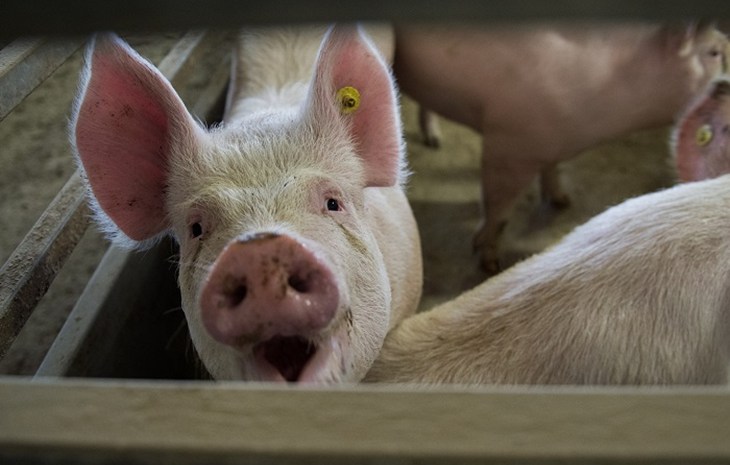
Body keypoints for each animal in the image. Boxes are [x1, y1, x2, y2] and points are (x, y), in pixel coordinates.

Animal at [394, 22, 729, 273]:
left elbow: (552, 168)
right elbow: (499, 211)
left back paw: (435, 140)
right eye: (714, 52)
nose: (723, 87)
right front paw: (489, 263)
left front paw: (562, 201)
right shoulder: (507, 144)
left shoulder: (547, 144)